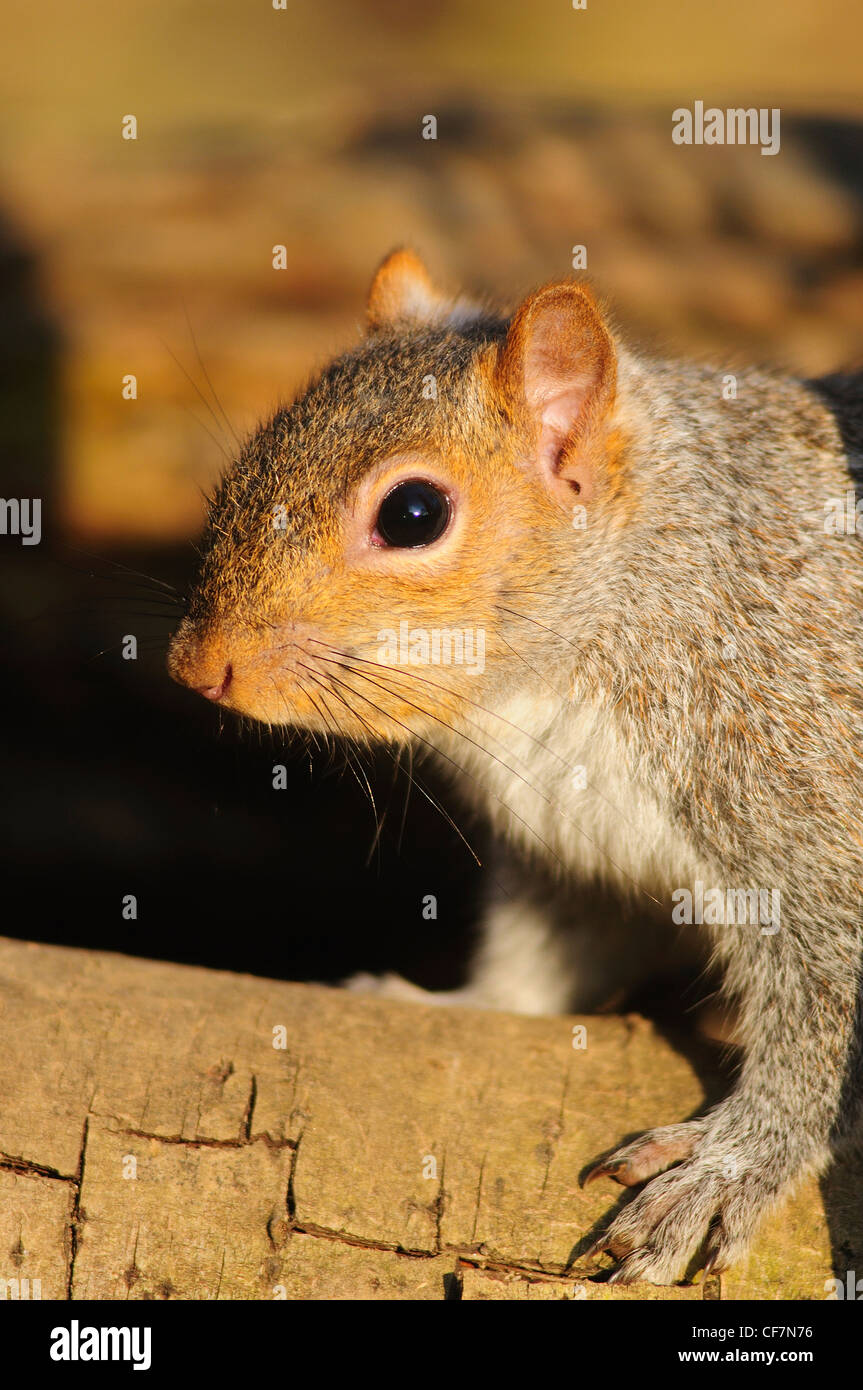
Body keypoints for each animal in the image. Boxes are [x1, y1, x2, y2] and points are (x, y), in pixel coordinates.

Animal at [168, 247, 861, 1278]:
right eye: (254, 456)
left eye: (413, 513)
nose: (194, 665)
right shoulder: (572, 851)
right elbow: (542, 952)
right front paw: (450, 1002)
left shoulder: (805, 785)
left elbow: (826, 1018)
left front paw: (729, 1163)